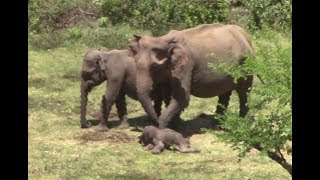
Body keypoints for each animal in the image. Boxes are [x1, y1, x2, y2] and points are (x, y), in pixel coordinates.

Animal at [127, 23, 255, 129]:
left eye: (154, 66)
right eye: (135, 63)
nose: (154, 122)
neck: (162, 39)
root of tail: (246, 36)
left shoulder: (187, 65)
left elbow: (182, 97)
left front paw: (163, 129)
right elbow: (168, 95)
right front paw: (176, 126)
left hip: (246, 63)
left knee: (243, 93)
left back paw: (242, 123)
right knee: (225, 92)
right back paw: (217, 125)